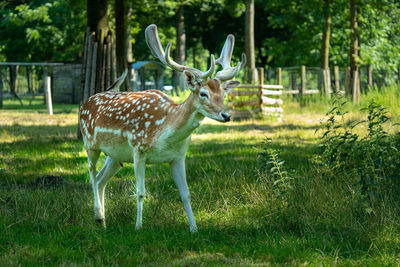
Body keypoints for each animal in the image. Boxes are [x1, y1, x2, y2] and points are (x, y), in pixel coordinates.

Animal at [79, 24, 245, 233]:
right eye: (203, 93)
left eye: (223, 94)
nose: (226, 115)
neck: (165, 133)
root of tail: (85, 102)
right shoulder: (138, 149)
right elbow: (140, 192)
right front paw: (138, 227)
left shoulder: (178, 157)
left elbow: (186, 194)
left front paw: (194, 228)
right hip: (89, 143)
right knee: (92, 174)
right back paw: (98, 214)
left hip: (115, 156)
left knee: (101, 179)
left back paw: (103, 222)